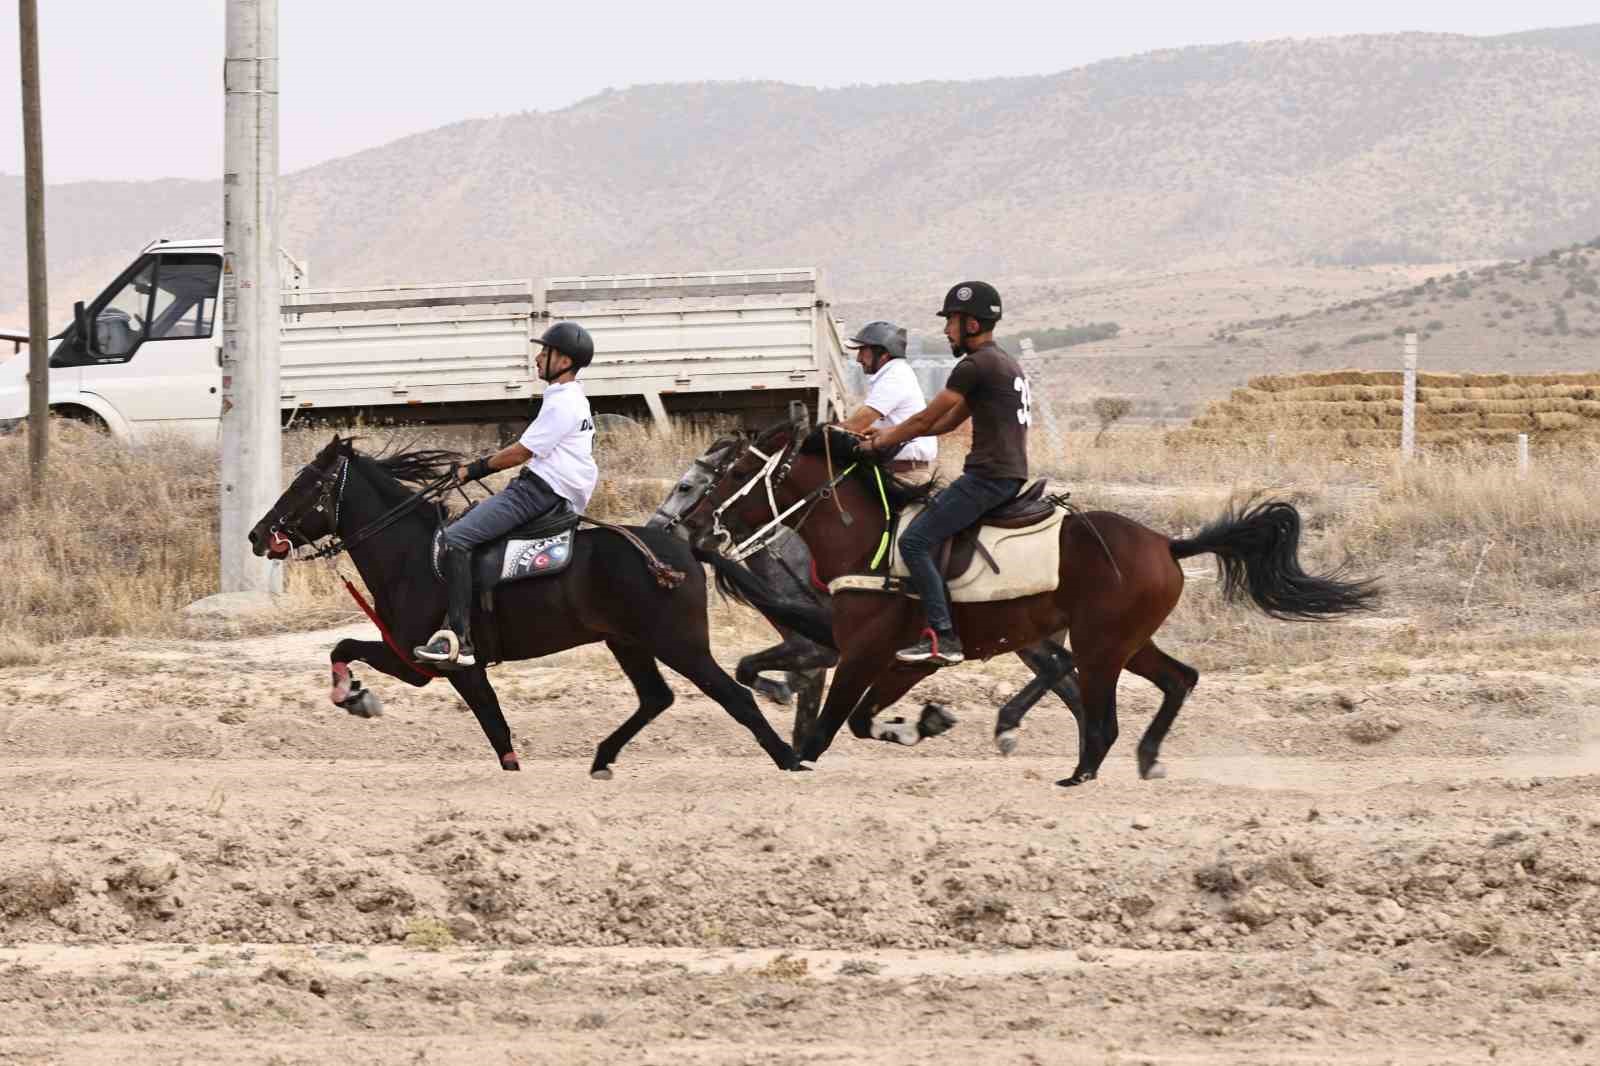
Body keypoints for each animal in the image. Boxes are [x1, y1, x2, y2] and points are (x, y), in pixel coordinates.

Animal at [249, 432, 832, 771]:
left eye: (304, 484)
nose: (258, 535)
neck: (417, 554)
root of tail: (683, 548)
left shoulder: (445, 664)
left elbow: (496, 729)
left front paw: (356, 697)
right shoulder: (415, 662)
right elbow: (344, 647)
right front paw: (354, 696)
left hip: (679, 643)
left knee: (734, 695)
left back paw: (789, 759)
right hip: (628, 642)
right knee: (655, 698)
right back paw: (602, 757)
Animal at [675, 422, 1376, 781]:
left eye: (731, 473)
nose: (694, 527)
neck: (869, 543)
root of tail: (1167, 542)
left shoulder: (866, 653)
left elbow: (825, 730)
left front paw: (800, 755)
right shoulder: (900, 661)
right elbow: (859, 720)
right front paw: (925, 723)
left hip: (1100, 644)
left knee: (1100, 711)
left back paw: (1080, 771)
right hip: (1126, 641)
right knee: (1177, 678)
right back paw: (1144, 759)